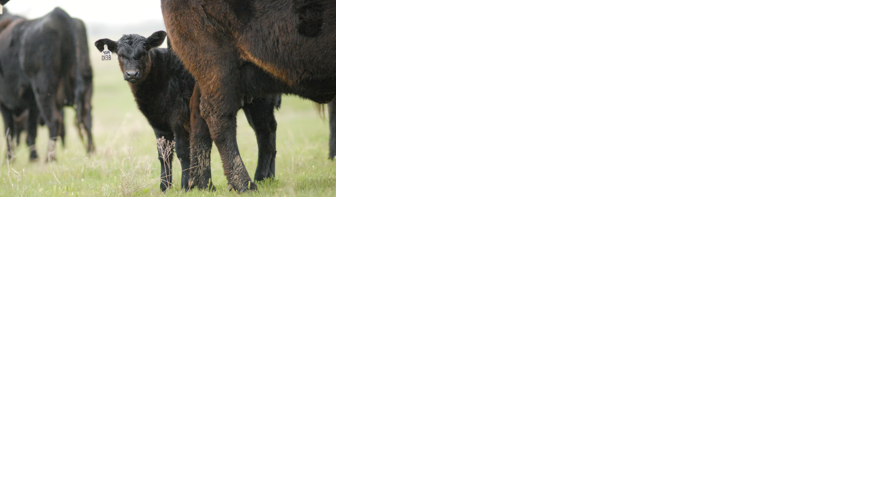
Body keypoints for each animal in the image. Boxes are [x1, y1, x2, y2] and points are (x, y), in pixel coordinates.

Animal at [0, 7, 76, 162]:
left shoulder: (4, 102)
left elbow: (8, 130)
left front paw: (9, 158)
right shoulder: (32, 104)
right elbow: (31, 130)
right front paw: (33, 157)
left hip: (44, 89)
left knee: (54, 120)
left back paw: (49, 158)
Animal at [94, 31, 281, 192]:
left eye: (144, 51)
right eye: (120, 54)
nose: (132, 74)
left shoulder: (179, 118)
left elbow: (183, 151)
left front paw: (186, 185)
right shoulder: (158, 123)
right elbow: (164, 155)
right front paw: (164, 187)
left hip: (260, 102)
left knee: (264, 134)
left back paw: (260, 177)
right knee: (268, 131)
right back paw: (270, 177)